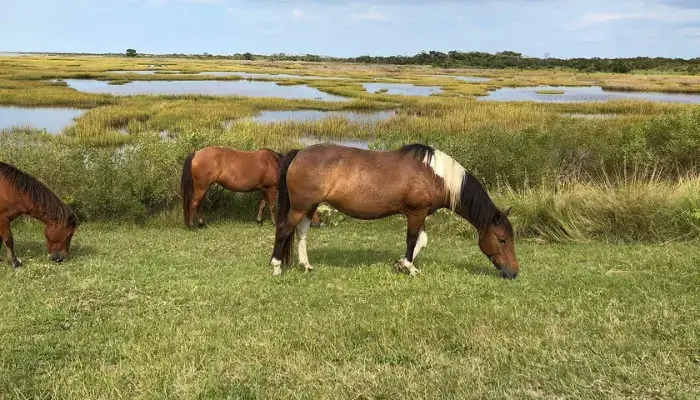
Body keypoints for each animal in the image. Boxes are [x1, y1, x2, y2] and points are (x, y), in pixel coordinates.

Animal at [268, 144, 520, 278]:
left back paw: (306, 265)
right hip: (300, 206)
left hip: (308, 207)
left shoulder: (421, 213)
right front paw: (409, 267)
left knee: (301, 233)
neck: (436, 175)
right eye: (502, 239)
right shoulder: (416, 213)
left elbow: (422, 241)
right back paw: (276, 267)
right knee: (284, 229)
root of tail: (299, 153)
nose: (513, 272)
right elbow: (412, 240)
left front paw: (400, 264)